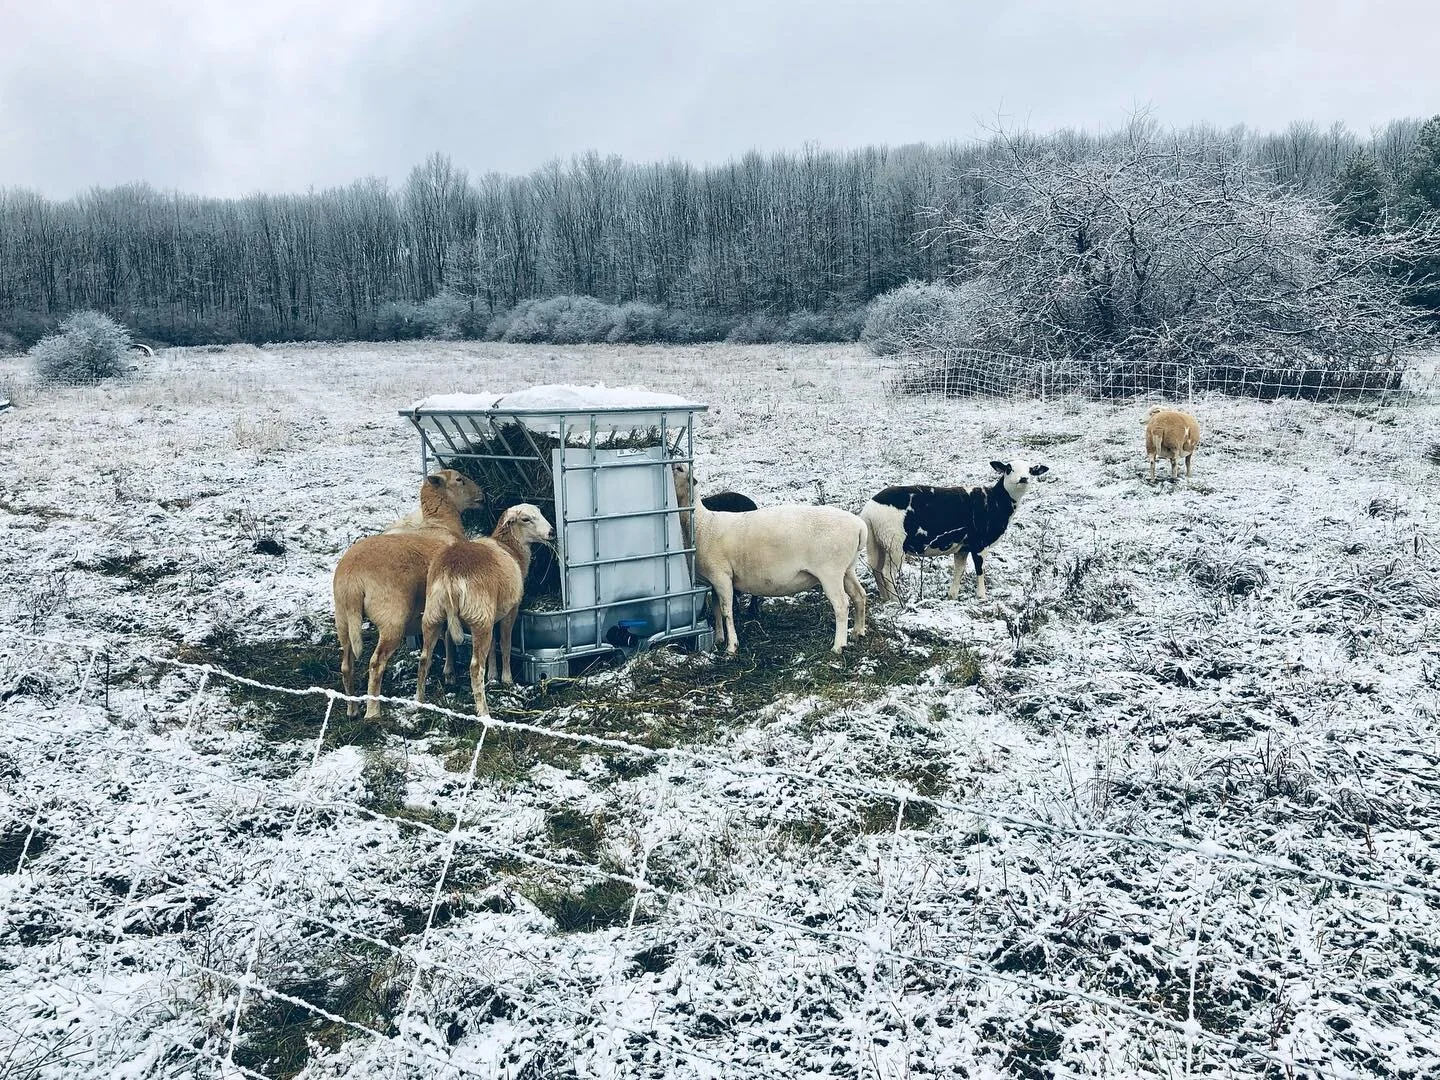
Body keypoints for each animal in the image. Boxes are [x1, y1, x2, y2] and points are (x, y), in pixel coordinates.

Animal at [332, 468, 482, 718]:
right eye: (459, 479)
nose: (482, 495)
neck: (442, 524)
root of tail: (353, 576)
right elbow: (449, 636)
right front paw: (450, 672)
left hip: (343, 618)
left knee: (346, 664)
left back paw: (352, 708)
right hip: (392, 617)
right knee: (376, 663)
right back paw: (373, 712)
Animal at [415, 503, 554, 716]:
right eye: (525, 519)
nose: (551, 532)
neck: (511, 549)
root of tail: (451, 574)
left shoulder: (494, 614)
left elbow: (493, 645)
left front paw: (493, 676)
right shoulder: (510, 610)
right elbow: (504, 644)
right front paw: (506, 679)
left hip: (434, 614)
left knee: (424, 659)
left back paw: (419, 703)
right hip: (479, 618)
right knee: (475, 667)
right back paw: (484, 712)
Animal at [683, 469, 868, 655]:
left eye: (679, 469)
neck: (703, 523)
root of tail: (860, 526)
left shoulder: (721, 576)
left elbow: (726, 610)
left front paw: (731, 647)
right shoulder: (713, 580)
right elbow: (716, 610)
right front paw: (719, 639)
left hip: (831, 571)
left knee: (841, 604)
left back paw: (838, 646)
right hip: (847, 568)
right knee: (859, 595)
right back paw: (858, 632)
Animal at [861, 461, 1049, 603]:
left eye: (1031, 470)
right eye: (1009, 468)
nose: (1023, 478)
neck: (996, 501)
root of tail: (869, 511)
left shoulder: (963, 547)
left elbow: (959, 570)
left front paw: (952, 595)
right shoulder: (980, 544)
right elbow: (980, 569)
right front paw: (982, 596)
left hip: (877, 541)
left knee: (876, 569)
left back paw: (885, 598)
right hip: (895, 543)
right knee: (888, 572)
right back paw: (897, 600)